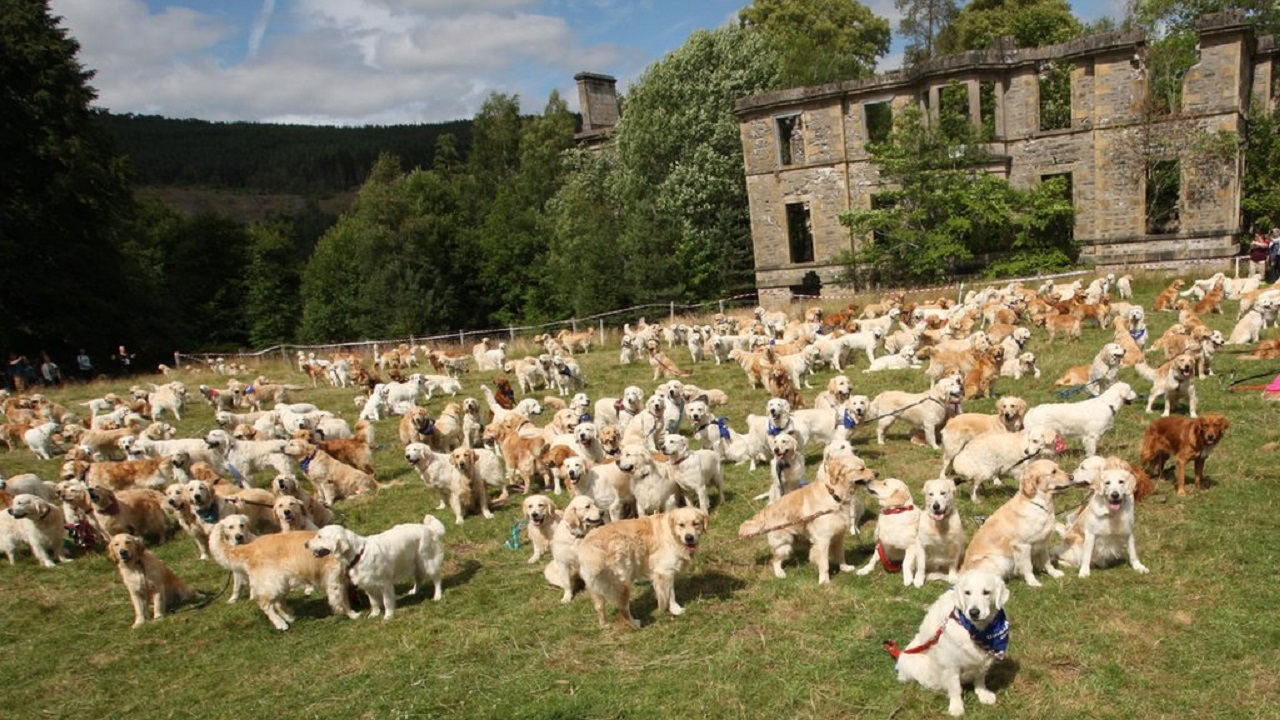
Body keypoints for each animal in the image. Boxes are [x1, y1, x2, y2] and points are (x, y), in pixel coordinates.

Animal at [307, 515, 448, 617]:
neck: (358, 554)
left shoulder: (385, 584)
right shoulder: (367, 585)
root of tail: (429, 529)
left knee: (437, 580)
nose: (305, 544)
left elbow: (386, 601)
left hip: (428, 562)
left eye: (320, 536)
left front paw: (388, 616)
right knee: (419, 578)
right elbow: (373, 602)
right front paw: (374, 614)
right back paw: (414, 591)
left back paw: (437, 596)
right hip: (415, 563)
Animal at [578, 502, 711, 625]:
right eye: (681, 525)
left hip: (595, 589)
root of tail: (589, 545)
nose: (689, 538)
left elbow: (667, 592)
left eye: (696, 523)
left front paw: (671, 608)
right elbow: (669, 594)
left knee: (599, 607)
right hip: (623, 583)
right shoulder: (664, 571)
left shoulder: (663, 572)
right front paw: (669, 609)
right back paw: (636, 624)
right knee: (623, 609)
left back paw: (604, 625)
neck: (671, 533)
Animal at [890, 568, 1008, 712]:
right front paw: (956, 707)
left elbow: (980, 679)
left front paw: (983, 694)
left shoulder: (984, 658)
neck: (977, 631)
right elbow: (955, 687)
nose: (974, 612)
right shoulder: (950, 663)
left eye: (986, 592)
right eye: (967, 592)